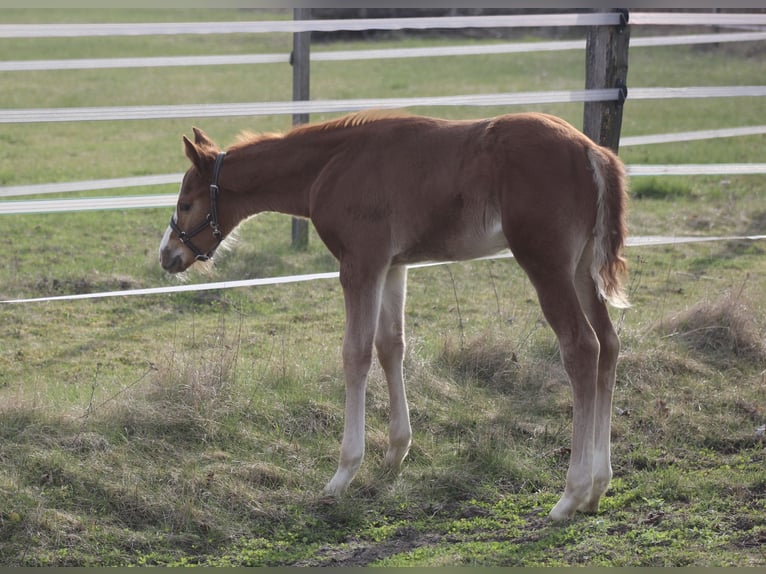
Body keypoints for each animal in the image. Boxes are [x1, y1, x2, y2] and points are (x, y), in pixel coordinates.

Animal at [159, 110, 629, 521]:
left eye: (185, 203)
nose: (167, 255)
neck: (330, 167)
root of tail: (592, 151)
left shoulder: (360, 263)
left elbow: (356, 354)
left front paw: (343, 472)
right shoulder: (393, 264)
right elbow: (391, 346)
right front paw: (396, 451)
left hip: (546, 263)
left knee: (581, 347)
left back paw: (571, 496)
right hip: (581, 268)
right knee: (608, 345)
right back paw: (598, 488)